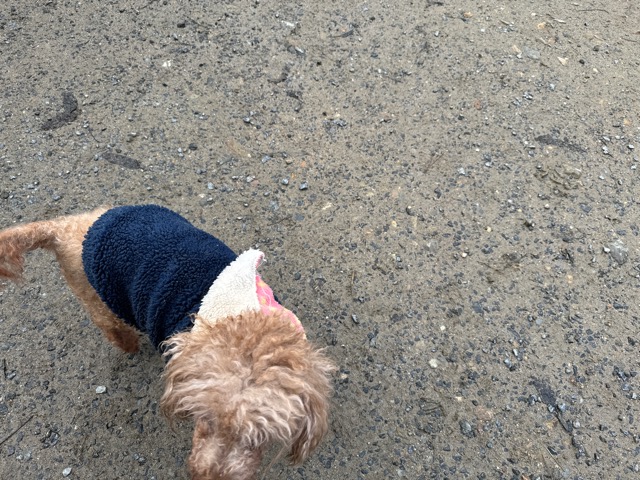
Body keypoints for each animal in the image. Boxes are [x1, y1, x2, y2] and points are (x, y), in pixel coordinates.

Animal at [0, 205, 335, 480]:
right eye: (205, 419)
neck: (248, 318)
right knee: (109, 324)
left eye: (258, 437)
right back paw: (129, 343)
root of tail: (69, 226)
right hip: (98, 296)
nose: (208, 477)